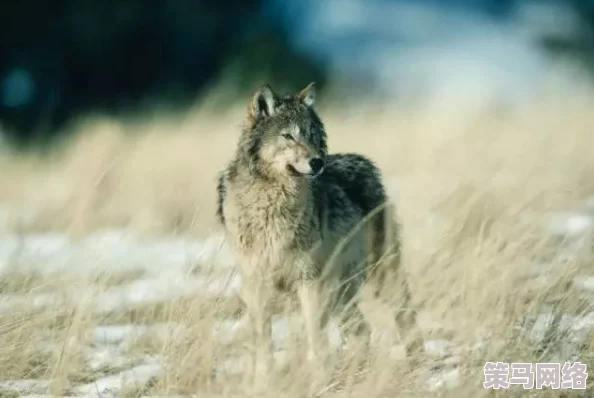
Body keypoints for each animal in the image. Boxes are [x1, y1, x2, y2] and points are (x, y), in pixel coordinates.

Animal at [213, 83, 420, 376]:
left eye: (311, 135)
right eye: (288, 136)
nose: (317, 162)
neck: (272, 206)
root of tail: (363, 161)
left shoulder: (308, 279)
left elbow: (315, 339)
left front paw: (318, 377)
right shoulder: (256, 284)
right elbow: (263, 341)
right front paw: (264, 380)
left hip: (380, 274)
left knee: (405, 314)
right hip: (342, 291)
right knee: (361, 328)